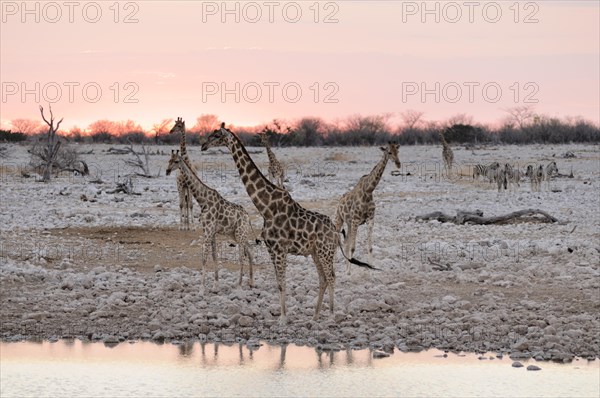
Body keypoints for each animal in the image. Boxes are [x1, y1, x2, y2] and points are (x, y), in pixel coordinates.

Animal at [165, 150, 256, 290]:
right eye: (169, 160)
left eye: (176, 161)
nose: (167, 171)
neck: (203, 200)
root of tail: (247, 216)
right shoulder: (210, 231)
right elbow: (214, 256)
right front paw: (215, 284)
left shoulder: (208, 231)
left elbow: (204, 257)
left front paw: (202, 289)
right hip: (235, 234)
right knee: (250, 250)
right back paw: (251, 282)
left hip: (240, 233)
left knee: (242, 256)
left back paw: (239, 284)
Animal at [202, 123, 376, 324]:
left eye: (216, 135)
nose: (203, 145)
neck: (265, 207)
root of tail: (335, 232)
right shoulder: (271, 248)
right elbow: (278, 283)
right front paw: (282, 316)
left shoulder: (279, 249)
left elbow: (282, 283)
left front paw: (283, 319)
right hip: (316, 252)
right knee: (323, 278)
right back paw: (315, 316)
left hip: (325, 251)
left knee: (331, 277)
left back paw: (331, 315)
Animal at [336, 141, 400, 276]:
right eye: (389, 152)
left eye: (398, 151)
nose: (398, 163)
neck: (368, 190)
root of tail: (339, 200)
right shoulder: (356, 220)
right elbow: (353, 247)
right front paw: (349, 272)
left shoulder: (370, 220)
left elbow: (369, 247)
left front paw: (372, 267)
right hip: (339, 219)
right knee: (340, 242)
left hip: (349, 223)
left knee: (346, 242)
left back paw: (346, 267)